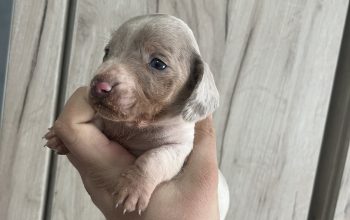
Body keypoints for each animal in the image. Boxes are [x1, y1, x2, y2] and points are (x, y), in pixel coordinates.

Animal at [45, 14, 227, 218]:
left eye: (158, 64)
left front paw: (133, 189)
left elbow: (153, 159)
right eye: (107, 51)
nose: (98, 85)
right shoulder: (109, 121)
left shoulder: (179, 147)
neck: (138, 125)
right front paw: (58, 137)